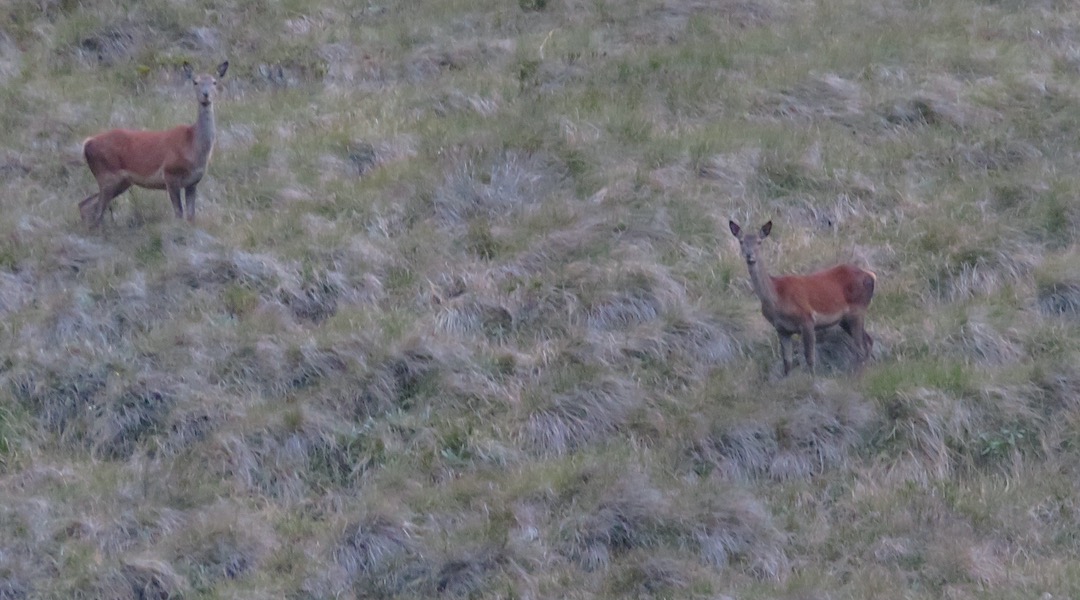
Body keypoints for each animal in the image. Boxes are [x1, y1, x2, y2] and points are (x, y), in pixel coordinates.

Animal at [78, 61, 229, 227]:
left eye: (214, 82)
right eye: (195, 82)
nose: (205, 95)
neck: (193, 146)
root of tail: (87, 143)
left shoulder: (193, 182)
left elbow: (191, 216)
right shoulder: (170, 174)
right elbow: (179, 213)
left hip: (121, 181)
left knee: (86, 204)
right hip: (107, 174)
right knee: (96, 209)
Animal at [729, 220, 876, 376]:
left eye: (759, 242)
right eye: (741, 241)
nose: (749, 256)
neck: (777, 298)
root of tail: (870, 276)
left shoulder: (807, 319)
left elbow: (810, 359)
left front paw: (812, 378)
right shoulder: (781, 329)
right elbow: (787, 363)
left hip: (858, 309)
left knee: (860, 347)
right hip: (845, 319)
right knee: (868, 341)